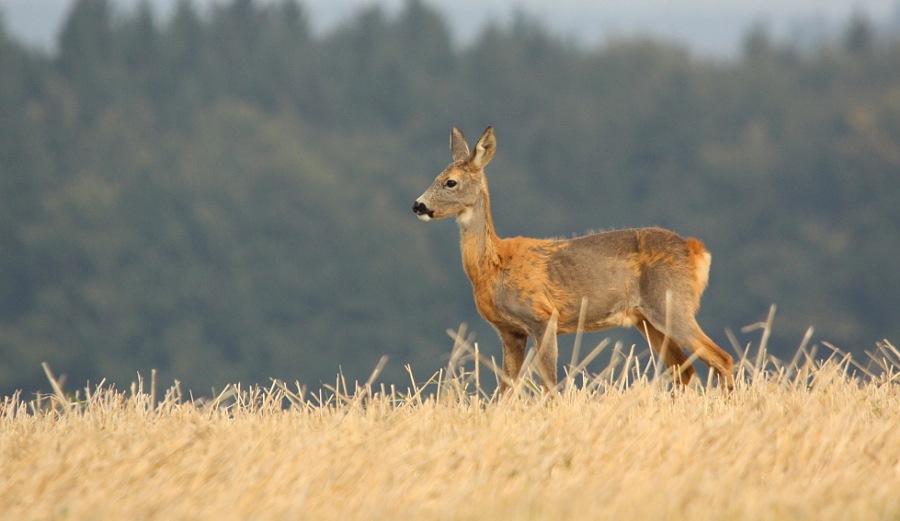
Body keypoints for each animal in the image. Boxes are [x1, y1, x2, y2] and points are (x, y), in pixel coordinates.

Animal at [413, 126, 735, 393]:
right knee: (684, 370)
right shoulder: (510, 332)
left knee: (721, 358)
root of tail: (697, 250)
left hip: (672, 303)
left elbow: (550, 386)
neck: (493, 267)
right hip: (647, 319)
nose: (418, 205)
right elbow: (504, 392)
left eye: (450, 182)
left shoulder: (542, 317)